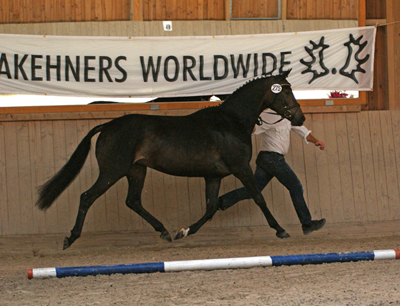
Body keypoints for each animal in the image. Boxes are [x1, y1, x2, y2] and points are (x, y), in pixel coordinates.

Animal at [36, 70, 304, 250]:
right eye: (286, 89)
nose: (299, 118)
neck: (230, 121)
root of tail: (108, 126)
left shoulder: (213, 175)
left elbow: (211, 207)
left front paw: (183, 232)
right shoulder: (241, 168)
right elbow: (258, 197)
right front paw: (280, 230)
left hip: (136, 171)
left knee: (133, 201)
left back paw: (164, 231)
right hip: (113, 171)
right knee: (87, 197)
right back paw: (70, 238)